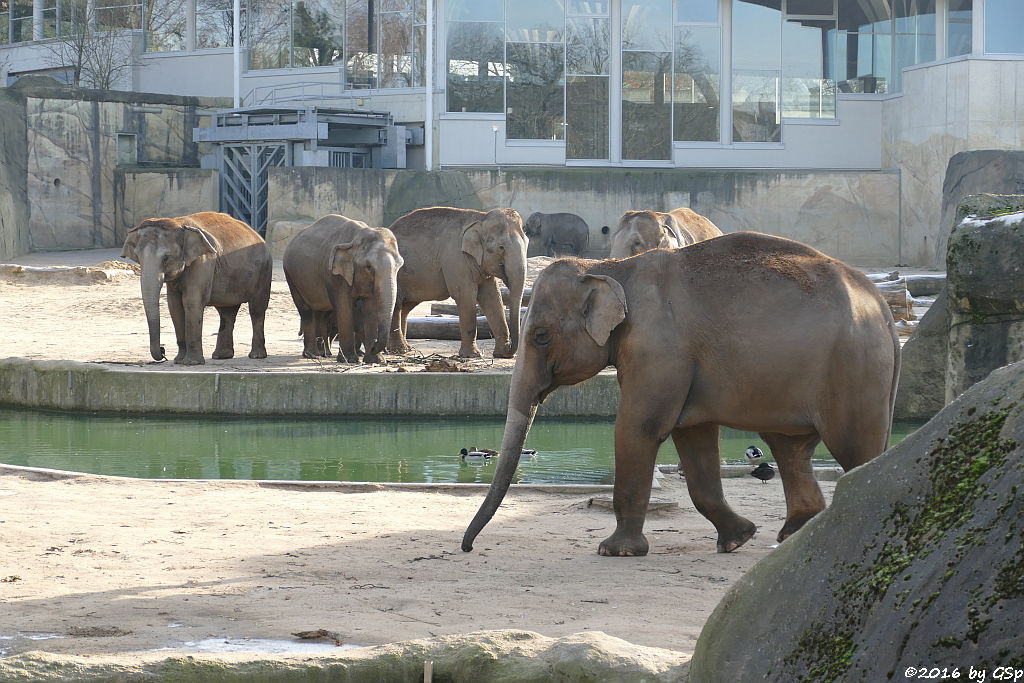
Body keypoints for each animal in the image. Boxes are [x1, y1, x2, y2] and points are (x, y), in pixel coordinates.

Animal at [121, 210, 272, 366]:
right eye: (138, 256)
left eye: (166, 257)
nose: (163, 351)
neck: (178, 223)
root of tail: (257, 234)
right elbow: (174, 306)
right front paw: (178, 361)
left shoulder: (203, 262)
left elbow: (191, 303)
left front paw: (192, 362)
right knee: (227, 312)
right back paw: (221, 356)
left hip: (263, 272)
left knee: (256, 310)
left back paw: (256, 355)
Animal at [286, 215, 405, 366]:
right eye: (369, 267)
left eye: (400, 266)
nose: (374, 345)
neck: (356, 238)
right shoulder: (334, 275)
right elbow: (344, 307)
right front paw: (349, 360)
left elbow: (370, 307)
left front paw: (376, 360)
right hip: (291, 276)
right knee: (306, 310)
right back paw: (312, 354)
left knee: (321, 312)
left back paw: (323, 354)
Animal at [385, 205, 528, 360]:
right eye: (501, 247)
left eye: (527, 243)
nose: (509, 347)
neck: (480, 218)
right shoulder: (456, 258)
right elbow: (465, 295)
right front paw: (472, 355)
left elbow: (492, 297)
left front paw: (501, 354)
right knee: (396, 303)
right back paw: (399, 351)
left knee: (405, 307)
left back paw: (401, 349)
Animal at [464, 233, 905, 557]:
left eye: (540, 336)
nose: (468, 549)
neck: (609, 269)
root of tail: (883, 307)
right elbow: (692, 436)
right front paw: (738, 539)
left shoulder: (659, 347)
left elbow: (638, 427)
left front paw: (614, 551)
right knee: (790, 447)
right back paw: (795, 535)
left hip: (854, 370)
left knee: (854, 449)